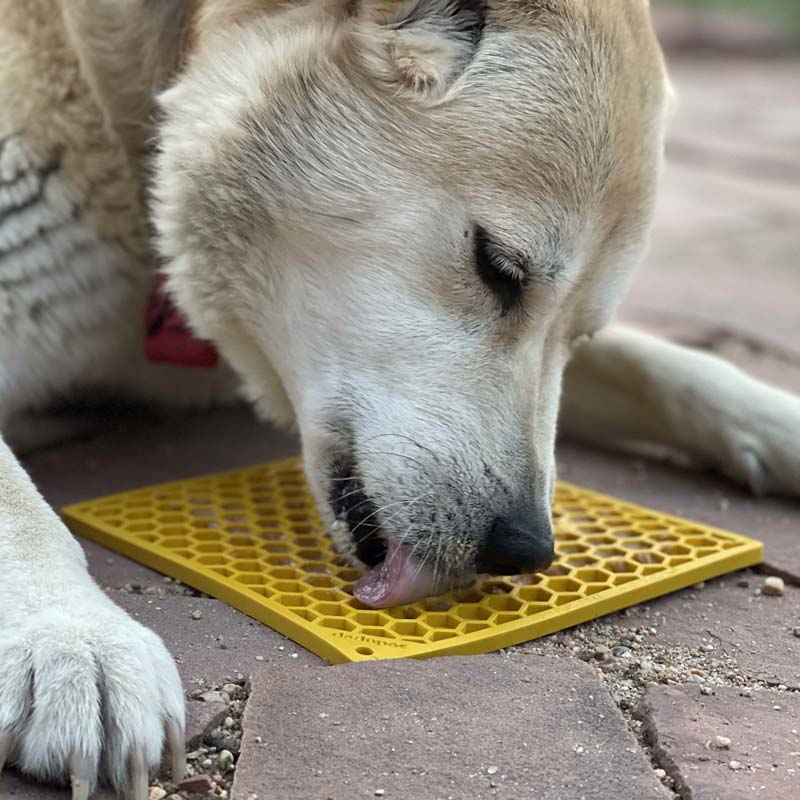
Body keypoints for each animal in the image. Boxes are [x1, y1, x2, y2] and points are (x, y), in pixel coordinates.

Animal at [1, 1, 800, 800]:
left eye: (581, 331)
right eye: (497, 266)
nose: (525, 549)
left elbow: (665, 364)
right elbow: (15, 495)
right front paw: (73, 641)